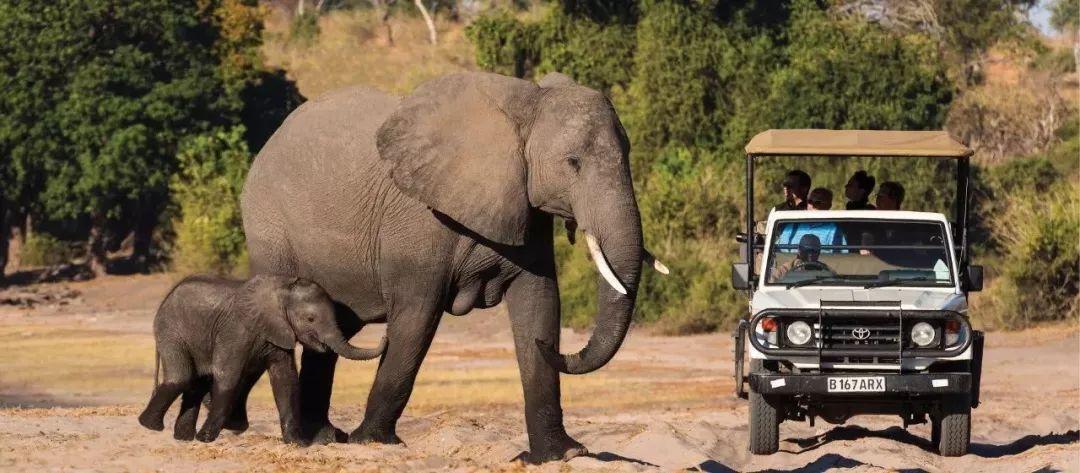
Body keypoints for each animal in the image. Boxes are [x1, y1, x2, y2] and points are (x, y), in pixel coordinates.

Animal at [137, 274, 387, 444]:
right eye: (310, 319)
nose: (385, 335)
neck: (282, 292)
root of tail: (165, 299)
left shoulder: (278, 334)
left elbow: (285, 379)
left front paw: (296, 443)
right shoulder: (236, 330)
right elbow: (227, 375)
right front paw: (206, 438)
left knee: (195, 383)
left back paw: (182, 438)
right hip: (171, 331)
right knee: (182, 377)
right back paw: (150, 426)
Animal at [240, 71, 666, 461]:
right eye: (572, 163)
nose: (556, 349)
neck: (524, 108)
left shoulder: (524, 208)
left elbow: (540, 303)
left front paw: (561, 455)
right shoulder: (419, 219)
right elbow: (417, 318)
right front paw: (373, 441)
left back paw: (324, 438)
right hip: (269, 228)